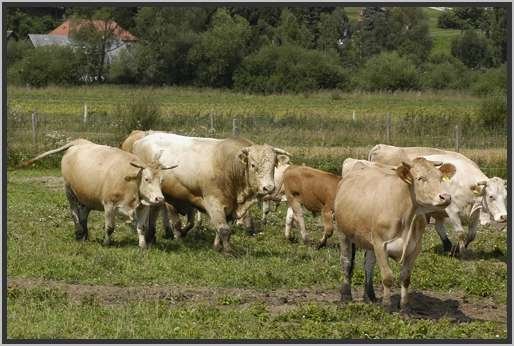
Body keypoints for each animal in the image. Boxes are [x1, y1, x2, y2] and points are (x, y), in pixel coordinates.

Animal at [22, 138, 174, 249]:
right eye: (147, 179)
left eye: (162, 180)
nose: (159, 198)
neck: (132, 182)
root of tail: (79, 142)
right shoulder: (109, 204)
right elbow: (110, 227)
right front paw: (106, 243)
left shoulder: (144, 206)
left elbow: (141, 227)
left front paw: (143, 246)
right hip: (69, 191)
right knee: (74, 212)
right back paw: (78, 233)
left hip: (87, 197)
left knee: (83, 214)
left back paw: (84, 234)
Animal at [334, 158, 454, 312]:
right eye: (420, 178)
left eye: (440, 177)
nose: (446, 197)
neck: (407, 216)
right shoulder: (380, 244)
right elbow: (387, 277)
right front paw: (387, 306)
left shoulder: (415, 248)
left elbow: (405, 277)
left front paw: (404, 308)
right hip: (343, 232)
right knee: (346, 262)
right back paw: (346, 295)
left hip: (369, 240)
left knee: (368, 264)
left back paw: (369, 296)